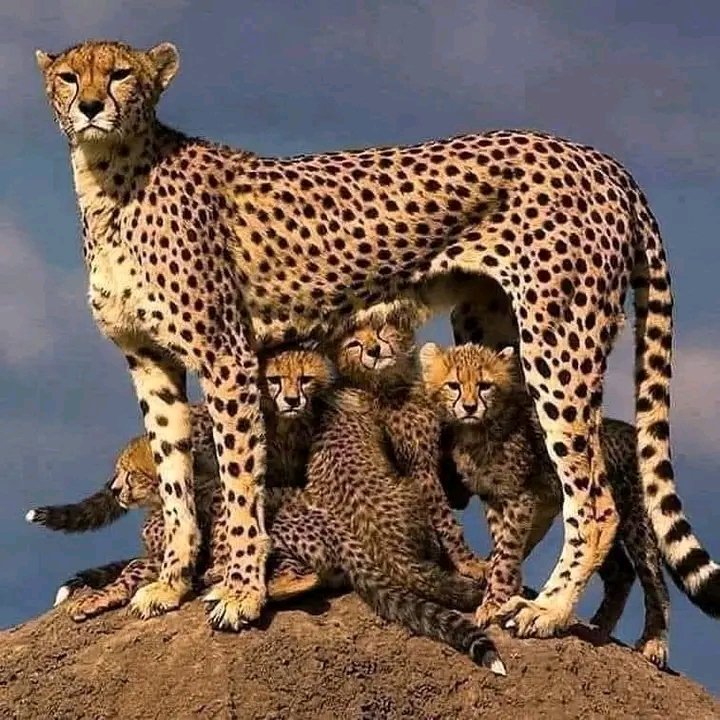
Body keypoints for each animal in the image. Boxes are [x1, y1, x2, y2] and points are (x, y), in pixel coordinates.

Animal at [36, 38, 687, 636]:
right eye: (69, 76)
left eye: (121, 74)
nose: (91, 106)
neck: (110, 176)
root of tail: (602, 160)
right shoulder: (150, 361)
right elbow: (174, 479)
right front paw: (171, 583)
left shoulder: (227, 353)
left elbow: (240, 479)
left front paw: (241, 592)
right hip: (493, 335)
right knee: (534, 486)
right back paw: (488, 588)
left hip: (559, 339)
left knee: (594, 500)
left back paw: (545, 609)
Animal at [421, 341, 720, 667]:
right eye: (453, 385)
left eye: (485, 386)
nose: (470, 407)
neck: (477, 430)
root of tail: (632, 432)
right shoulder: (495, 500)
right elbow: (502, 548)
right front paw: (499, 585)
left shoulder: (518, 498)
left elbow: (508, 552)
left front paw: (495, 601)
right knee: (620, 571)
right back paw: (599, 627)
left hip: (637, 524)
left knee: (655, 582)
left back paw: (653, 642)